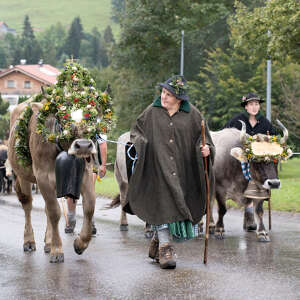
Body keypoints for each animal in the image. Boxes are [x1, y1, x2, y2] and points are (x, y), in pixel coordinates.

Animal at [8, 99, 97, 262]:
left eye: (90, 116)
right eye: (62, 117)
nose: (83, 146)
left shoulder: (86, 174)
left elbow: (89, 207)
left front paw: (80, 244)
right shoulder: (42, 177)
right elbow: (54, 212)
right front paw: (57, 250)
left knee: (46, 208)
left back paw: (48, 242)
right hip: (22, 175)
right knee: (28, 205)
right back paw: (29, 241)